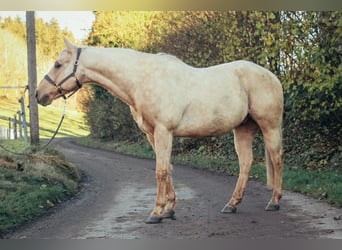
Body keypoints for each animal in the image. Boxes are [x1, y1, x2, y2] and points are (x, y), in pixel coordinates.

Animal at [36, 38, 284, 224]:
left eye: (58, 64)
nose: (40, 94)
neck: (142, 79)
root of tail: (272, 76)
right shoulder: (152, 134)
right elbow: (168, 168)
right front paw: (169, 210)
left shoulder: (164, 131)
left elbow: (160, 171)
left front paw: (155, 213)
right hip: (242, 129)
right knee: (246, 163)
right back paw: (232, 204)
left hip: (269, 126)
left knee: (276, 159)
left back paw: (274, 202)